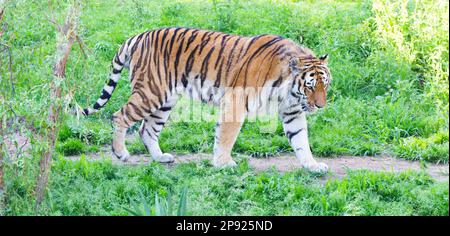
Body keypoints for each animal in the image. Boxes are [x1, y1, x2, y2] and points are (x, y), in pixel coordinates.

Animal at [82, 27, 332, 173]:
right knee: (119, 116)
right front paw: (224, 163)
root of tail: (137, 36)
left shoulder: (292, 111)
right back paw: (121, 153)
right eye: (310, 86)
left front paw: (313, 166)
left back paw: (161, 158)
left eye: (325, 84)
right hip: (150, 92)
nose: (320, 106)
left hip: (165, 100)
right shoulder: (235, 102)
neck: (288, 90)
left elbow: (301, 140)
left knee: (147, 129)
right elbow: (226, 136)